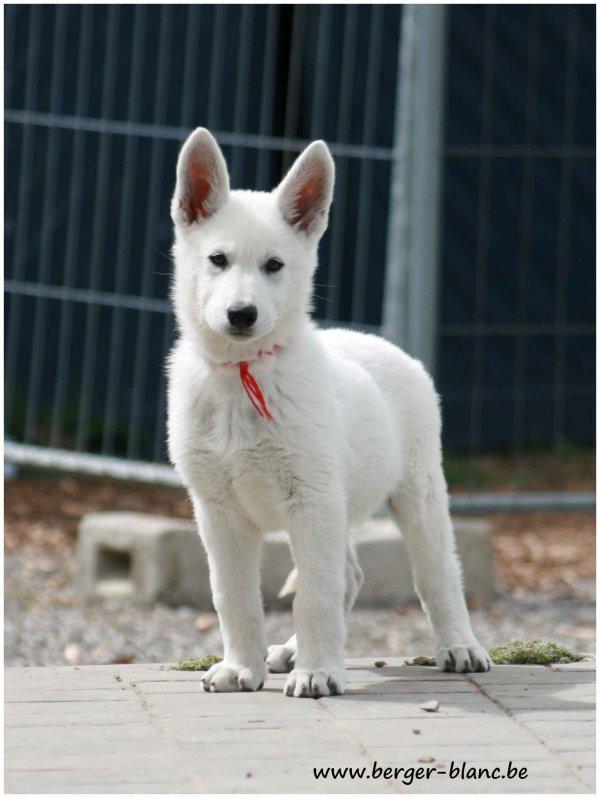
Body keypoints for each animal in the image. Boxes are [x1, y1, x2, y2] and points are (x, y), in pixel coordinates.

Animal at [166, 128, 490, 696]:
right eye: (217, 260)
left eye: (274, 265)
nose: (241, 315)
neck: (243, 373)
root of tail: (387, 346)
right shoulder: (218, 510)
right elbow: (233, 596)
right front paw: (241, 668)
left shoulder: (311, 499)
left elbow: (314, 594)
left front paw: (319, 673)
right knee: (351, 575)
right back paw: (290, 652)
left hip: (418, 493)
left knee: (436, 575)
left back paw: (458, 646)